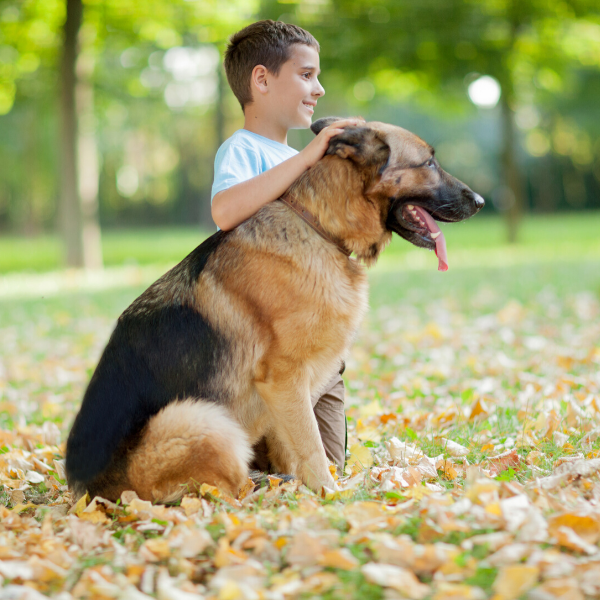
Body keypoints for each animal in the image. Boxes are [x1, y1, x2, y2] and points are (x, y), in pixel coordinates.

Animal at [65, 117, 486, 502]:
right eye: (428, 163)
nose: (481, 202)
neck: (319, 227)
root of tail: (87, 492)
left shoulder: (288, 395)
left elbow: (294, 447)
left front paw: (306, 490)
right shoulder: (285, 378)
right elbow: (311, 445)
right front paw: (330, 496)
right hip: (200, 418)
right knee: (223, 491)